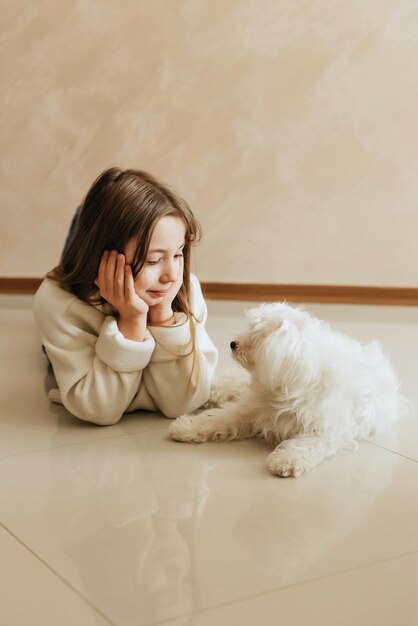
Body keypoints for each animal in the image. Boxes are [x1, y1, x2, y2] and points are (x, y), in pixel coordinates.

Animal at [168, 302, 406, 472]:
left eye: (258, 335)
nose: (233, 344)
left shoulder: (326, 429)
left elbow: (306, 444)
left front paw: (287, 460)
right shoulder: (252, 408)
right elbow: (218, 418)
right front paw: (186, 427)